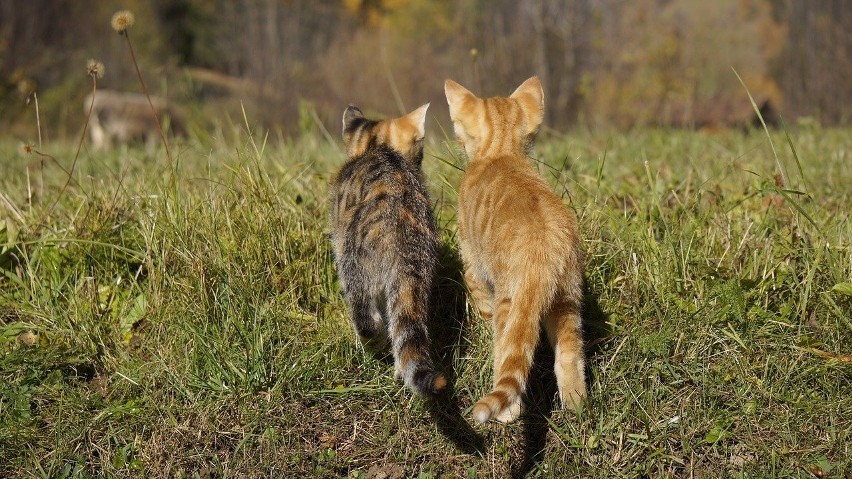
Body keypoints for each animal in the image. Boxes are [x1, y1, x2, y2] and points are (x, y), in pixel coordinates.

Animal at [446, 76, 584, 424]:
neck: (501, 151)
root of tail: (543, 245)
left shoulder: (472, 264)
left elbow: (481, 307)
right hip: (568, 299)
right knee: (569, 355)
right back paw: (577, 405)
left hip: (511, 303)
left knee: (509, 358)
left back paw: (507, 413)